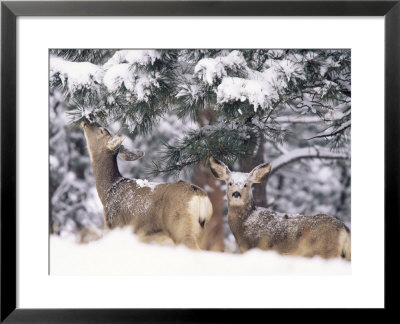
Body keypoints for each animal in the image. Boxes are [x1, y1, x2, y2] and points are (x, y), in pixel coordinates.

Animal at [81, 120, 212, 249]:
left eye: (102, 130)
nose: (86, 121)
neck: (108, 191)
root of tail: (200, 196)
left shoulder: (116, 226)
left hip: (180, 227)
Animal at [209, 158, 350, 260]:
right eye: (230, 183)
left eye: (246, 184)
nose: (236, 194)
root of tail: (344, 229)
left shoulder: (260, 248)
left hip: (326, 251)